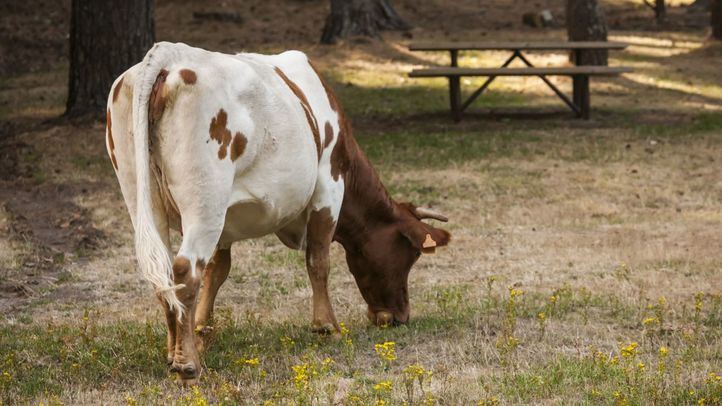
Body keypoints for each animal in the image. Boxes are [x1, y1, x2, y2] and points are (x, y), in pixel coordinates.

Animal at [106, 42, 450, 384]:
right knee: (185, 270)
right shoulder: (328, 186)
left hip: (142, 195)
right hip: (205, 201)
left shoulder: (225, 225)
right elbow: (318, 259)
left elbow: (217, 271)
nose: (400, 316)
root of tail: (169, 54)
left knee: (164, 274)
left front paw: (203, 329)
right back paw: (187, 364)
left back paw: (173, 352)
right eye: (410, 256)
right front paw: (327, 326)